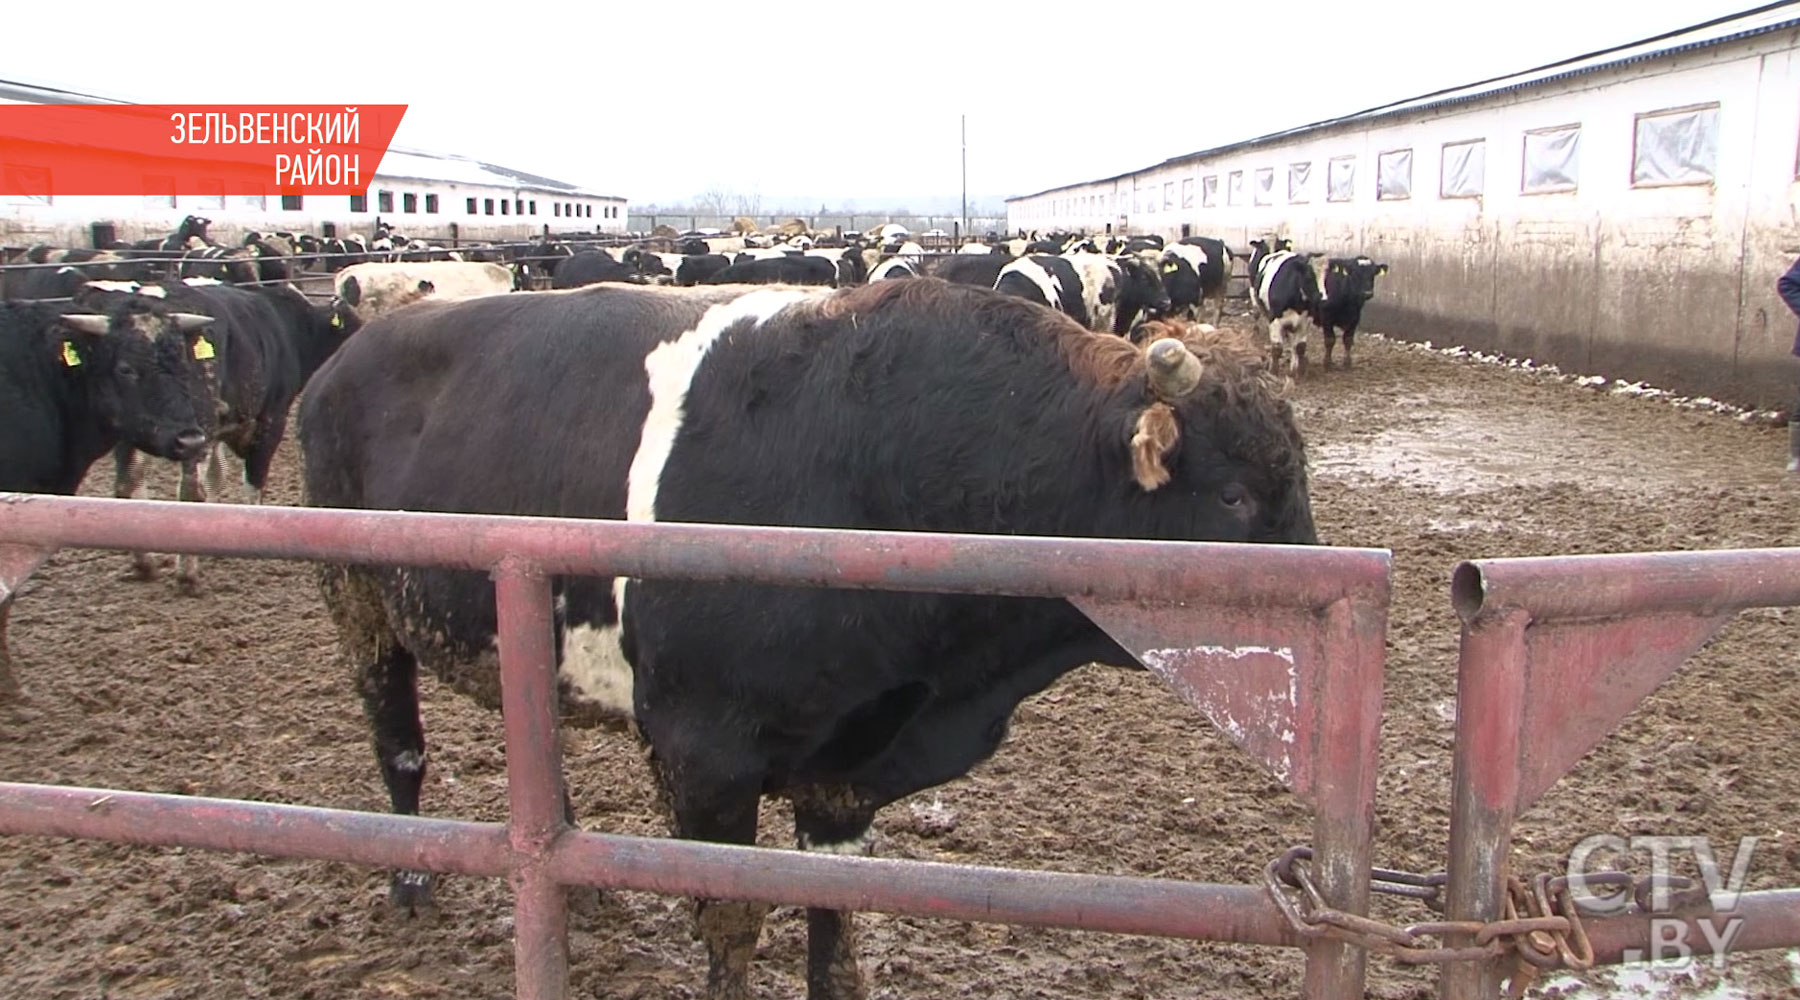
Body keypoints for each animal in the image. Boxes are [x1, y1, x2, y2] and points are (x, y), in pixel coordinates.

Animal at [298, 276, 1324, 1000]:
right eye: (1233, 495)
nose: (1321, 620)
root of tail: (351, 352)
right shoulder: (700, 751)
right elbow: (731, 924)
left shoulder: (848, 761)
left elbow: (837, 917)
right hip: (358, 601)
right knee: (398, 742)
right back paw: (411, 880)